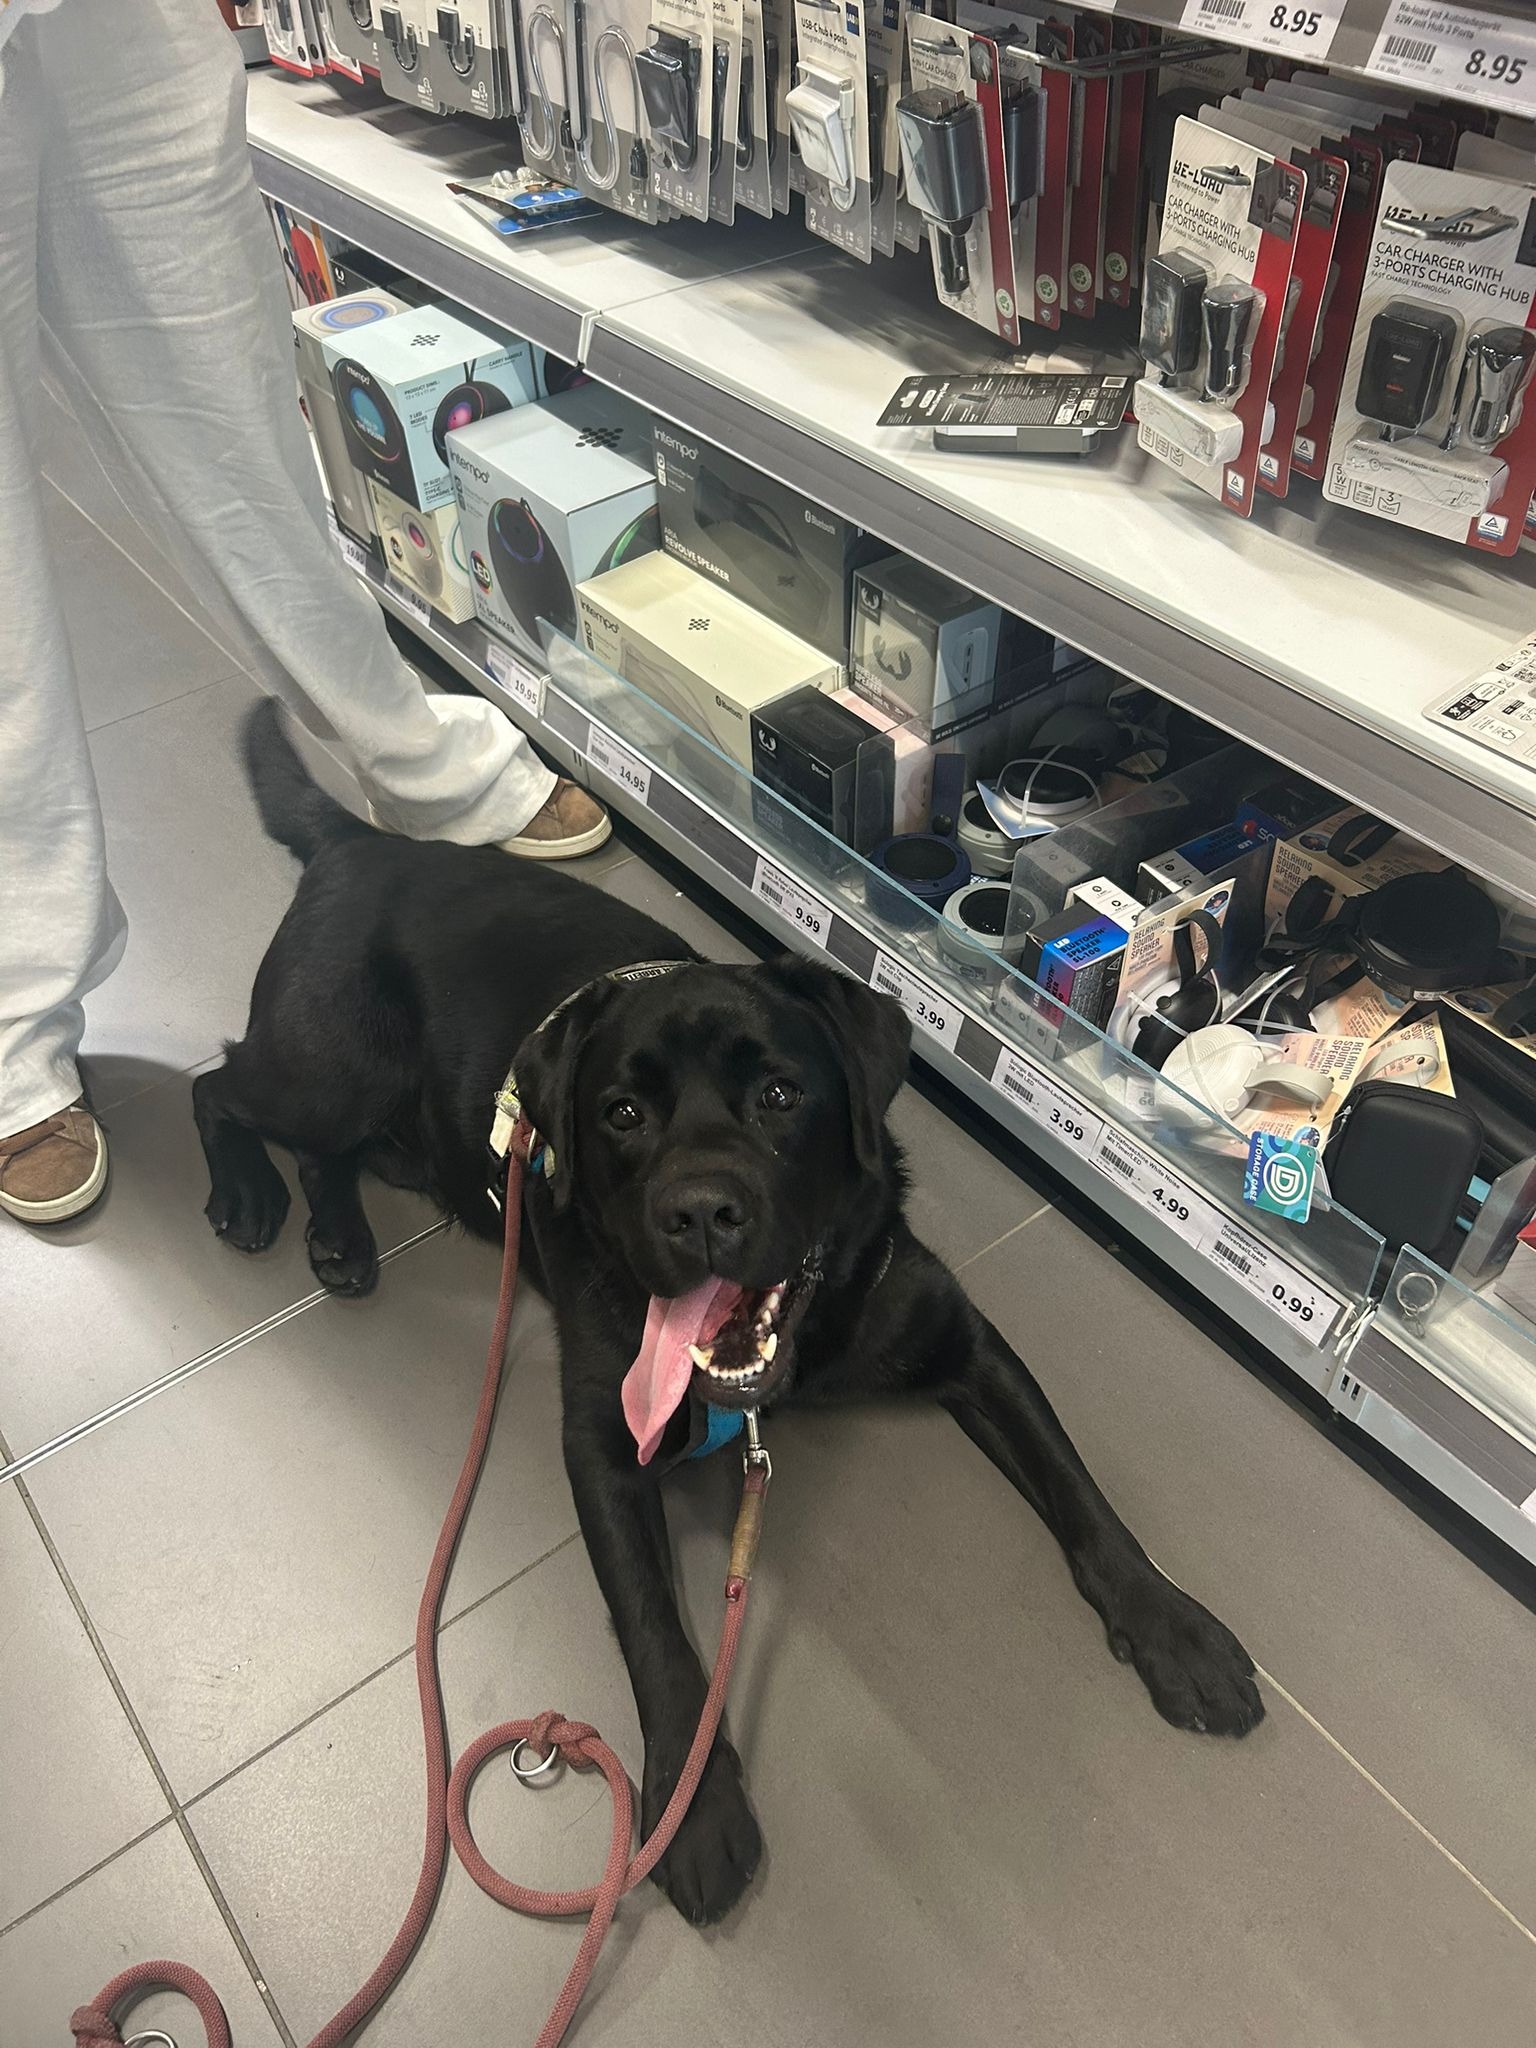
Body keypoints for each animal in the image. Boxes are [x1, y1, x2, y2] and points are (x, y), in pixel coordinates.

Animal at [195, 703, 1264, 1927]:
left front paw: (1174, 1626)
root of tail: (362, 840)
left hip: (389, 1117)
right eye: (620, 1112)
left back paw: (337, 1235)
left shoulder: (963, 1338)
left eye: (781, 1095)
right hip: (329, 1063)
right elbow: (654, 1631)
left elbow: (1083, 1494)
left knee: (323, 1141)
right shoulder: (603, 1440)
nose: (700, 1209)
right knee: (219, 1084)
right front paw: (691, 1805)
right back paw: (248, 1194)